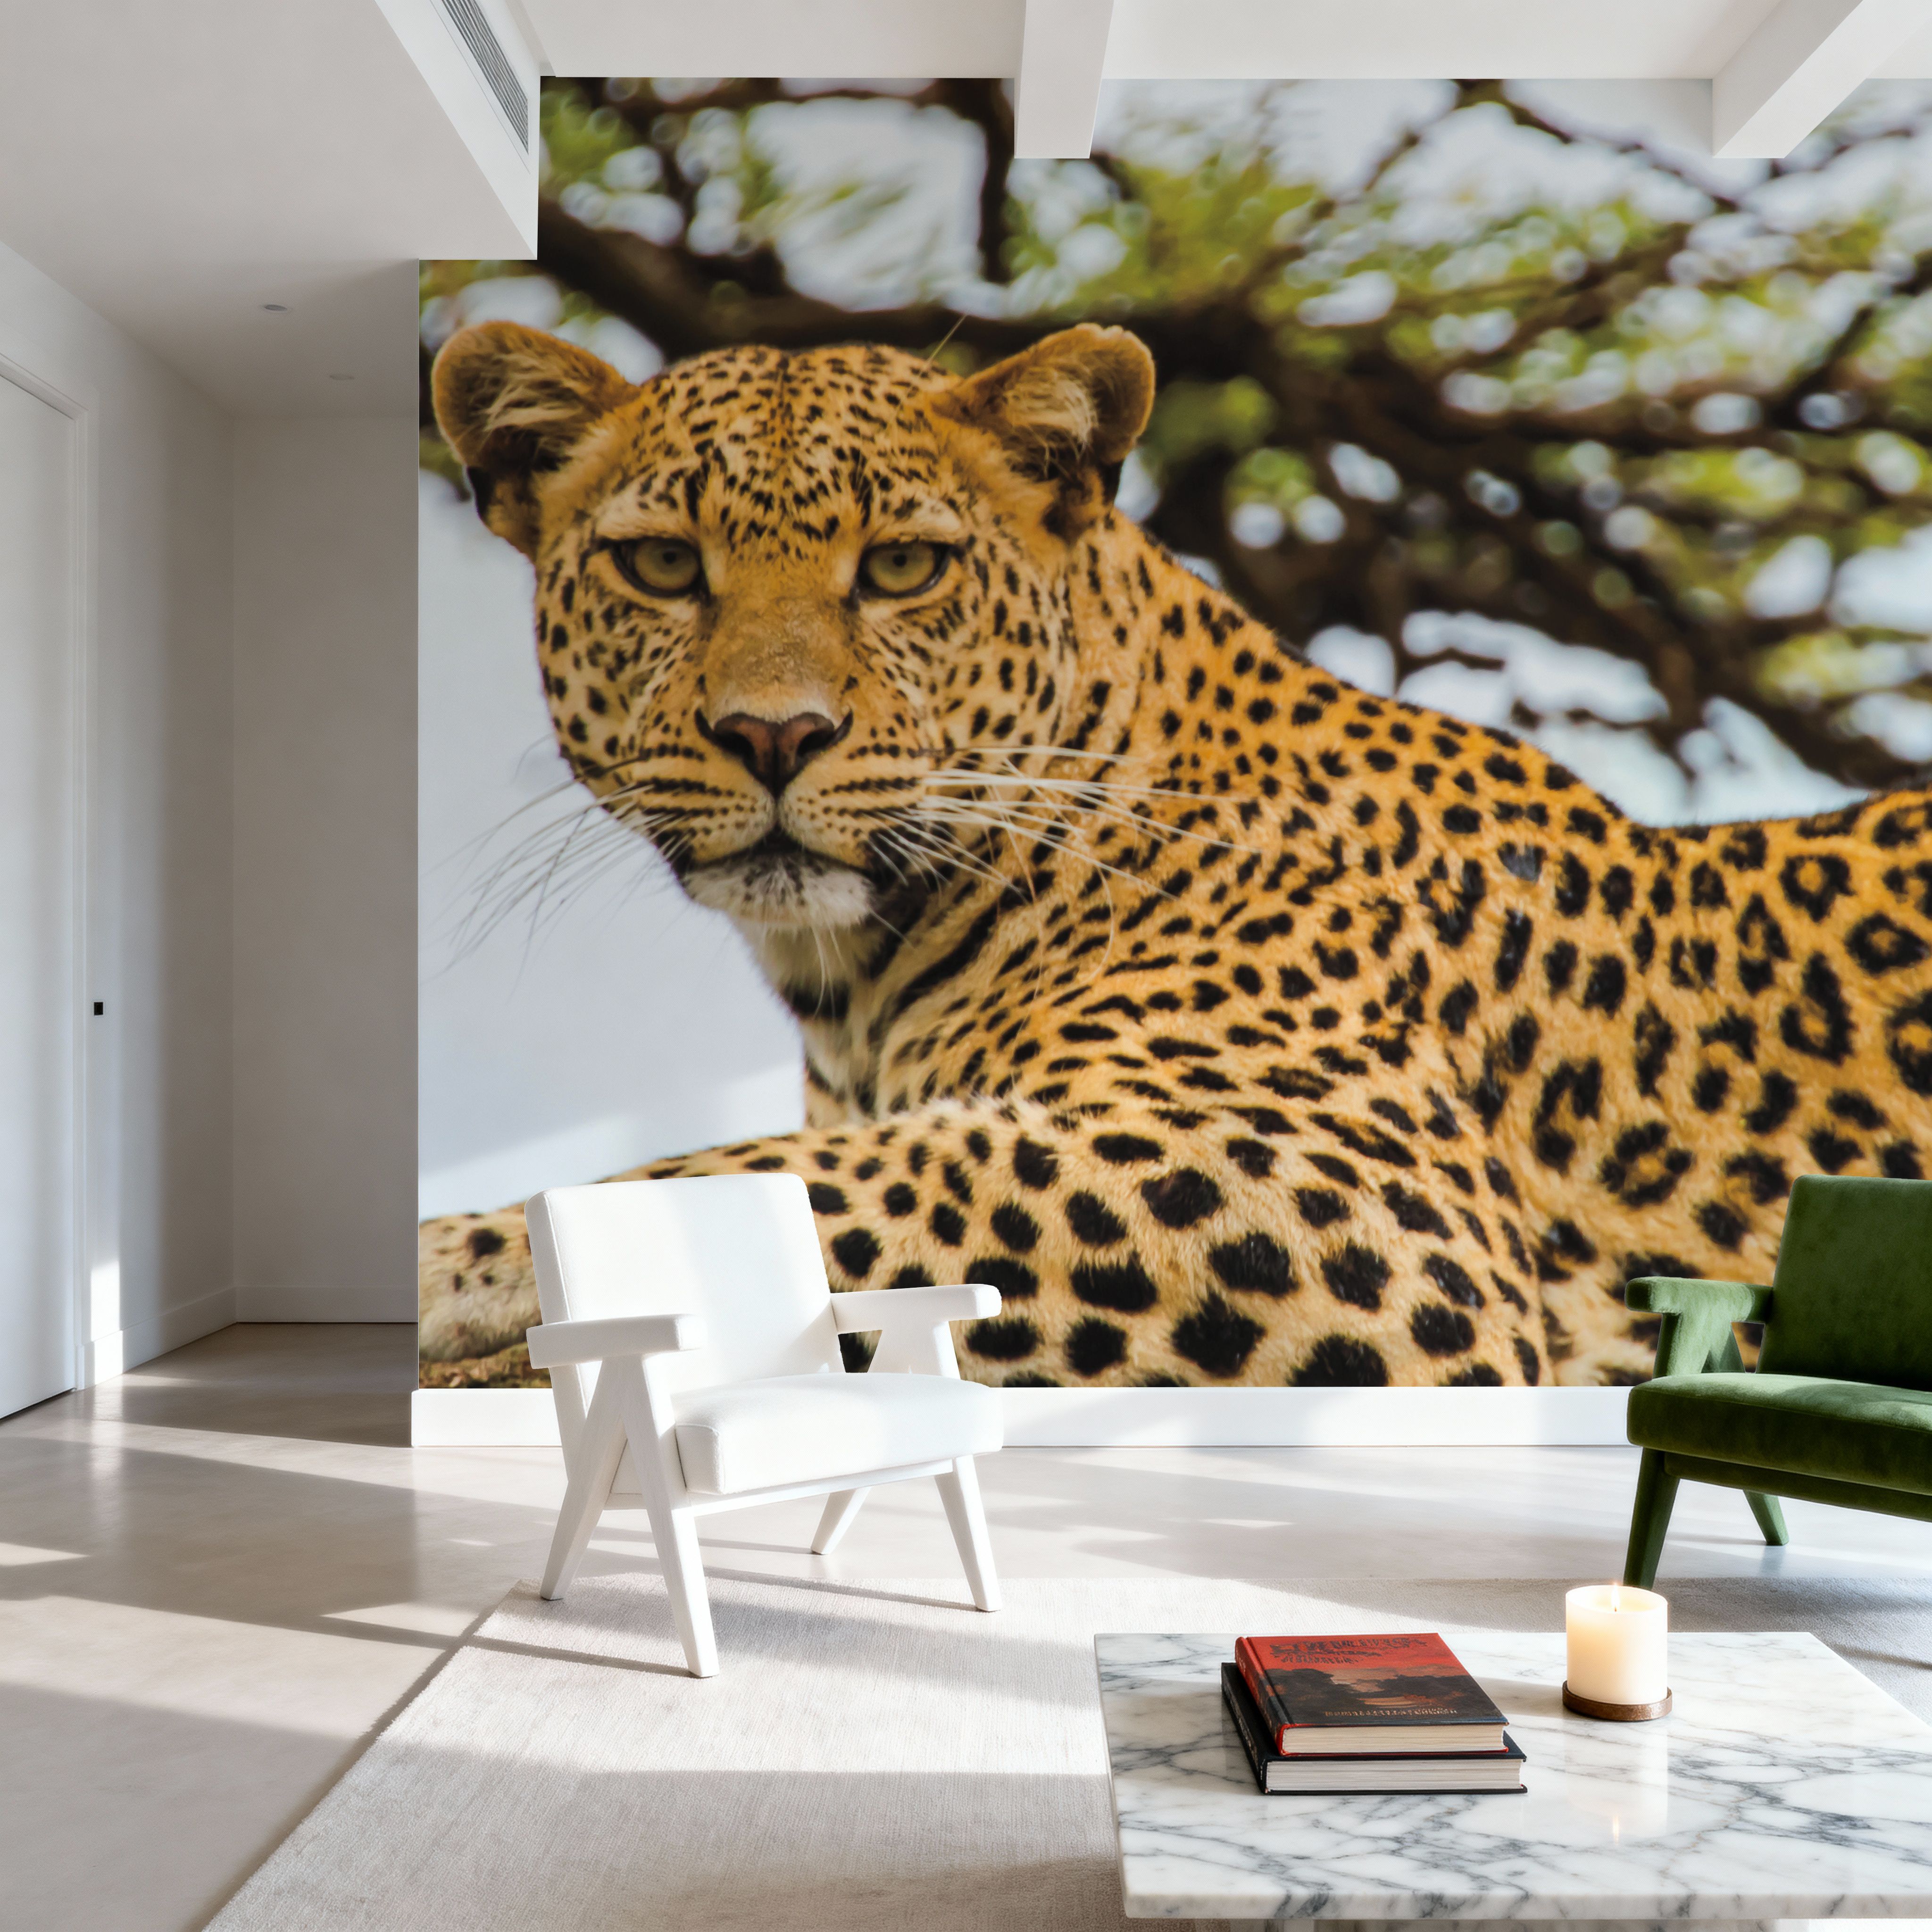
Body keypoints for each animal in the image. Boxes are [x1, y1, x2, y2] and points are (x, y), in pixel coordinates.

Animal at [420, 315, 1932, 1389]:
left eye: (904, 568)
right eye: (663, 567)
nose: (774, 733)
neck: (852, 979)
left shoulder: (1353, 1204)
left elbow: (767, 1180)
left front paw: (453, 1259)